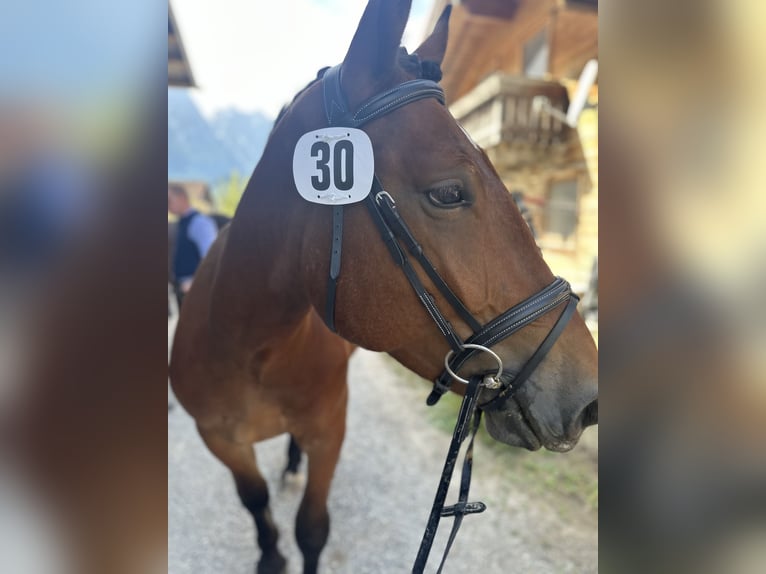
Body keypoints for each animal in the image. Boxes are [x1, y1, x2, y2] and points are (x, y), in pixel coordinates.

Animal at [169, 2, 598, 573]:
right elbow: (256, 503)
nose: (590, 397)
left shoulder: (330, 430)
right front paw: (269, 554)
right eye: (448, 192)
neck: (249, 348)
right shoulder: (221, 441)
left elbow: (311, 529)